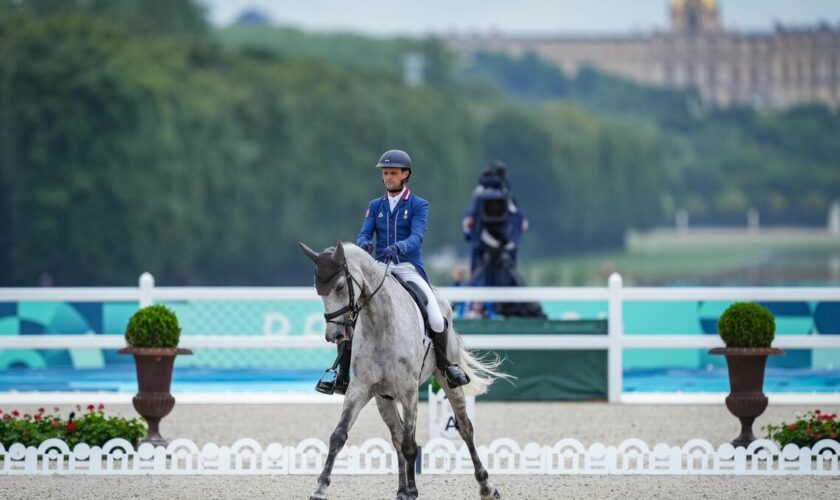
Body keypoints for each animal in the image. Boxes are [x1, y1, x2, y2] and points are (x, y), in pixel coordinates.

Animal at [302, 240, 506, 498]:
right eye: (318, 290)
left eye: (339, 286)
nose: (334, 336)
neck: (379, 325)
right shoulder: (360, 389)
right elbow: (339, 435)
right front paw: (320, 488)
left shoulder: (409, 392)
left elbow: (411, 445)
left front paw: (412, 491)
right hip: (384, 398)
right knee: (397, 435)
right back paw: (401, 489)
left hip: (447, 380)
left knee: (464, 427)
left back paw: (486, 487)